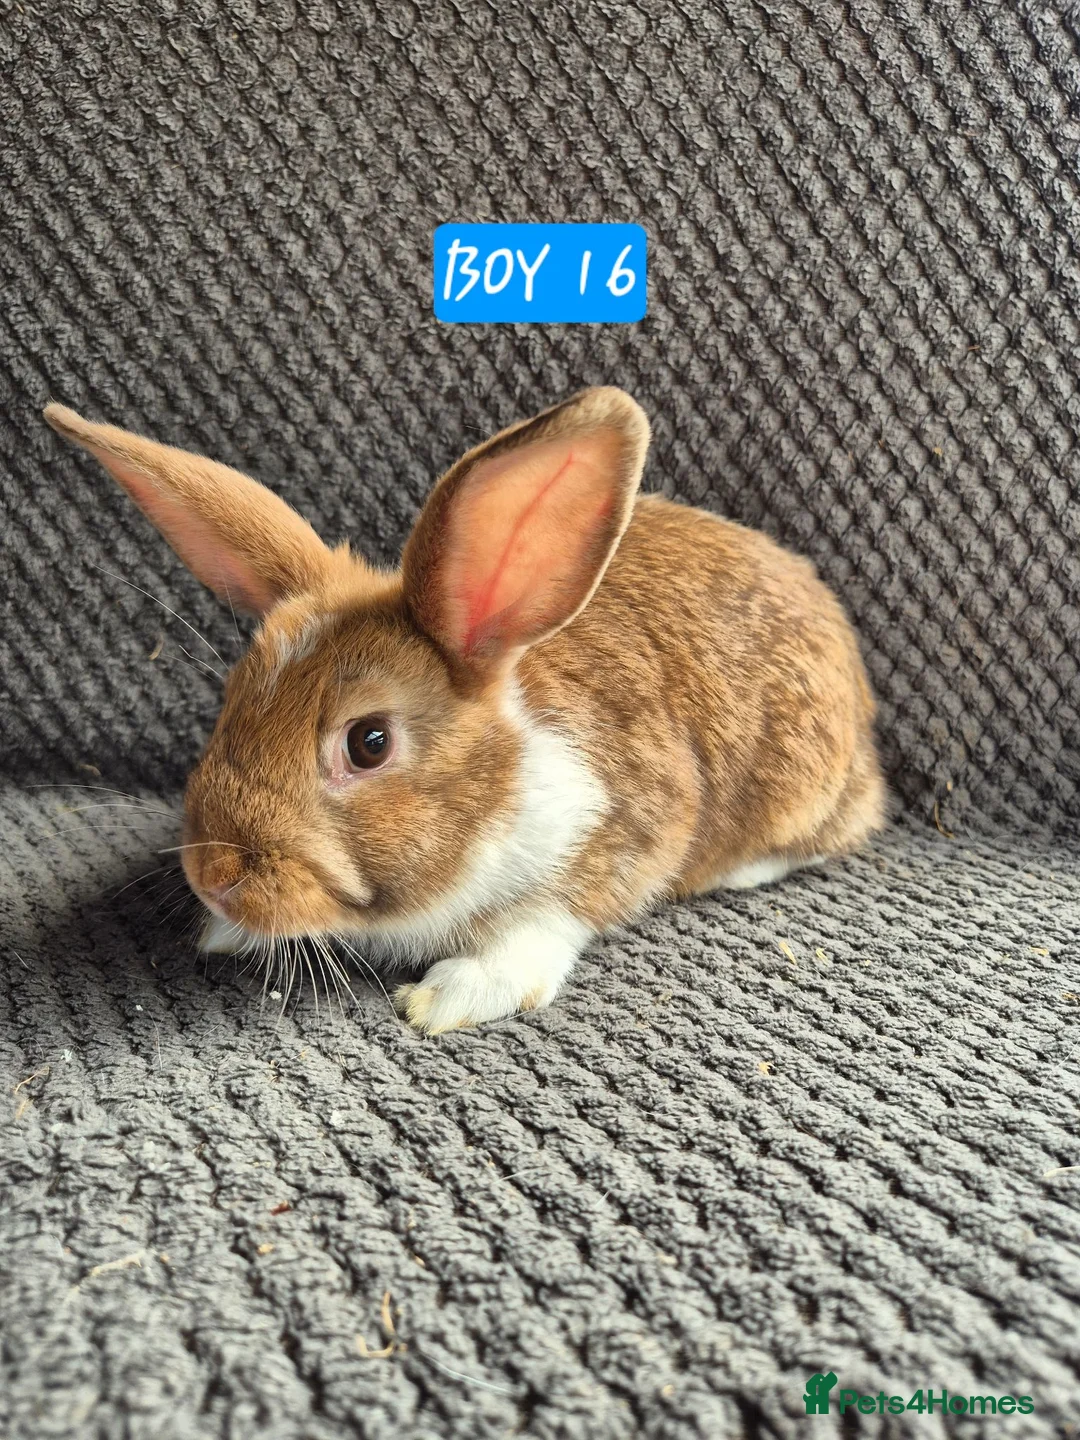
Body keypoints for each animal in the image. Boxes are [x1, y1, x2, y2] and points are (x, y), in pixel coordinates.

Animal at [44, 388, 886, 1033]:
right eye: (233, 700)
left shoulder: (610, 840)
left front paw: (447, 999)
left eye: (369, 742)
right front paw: (222, 933)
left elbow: (537, 932)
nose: (212, 874)